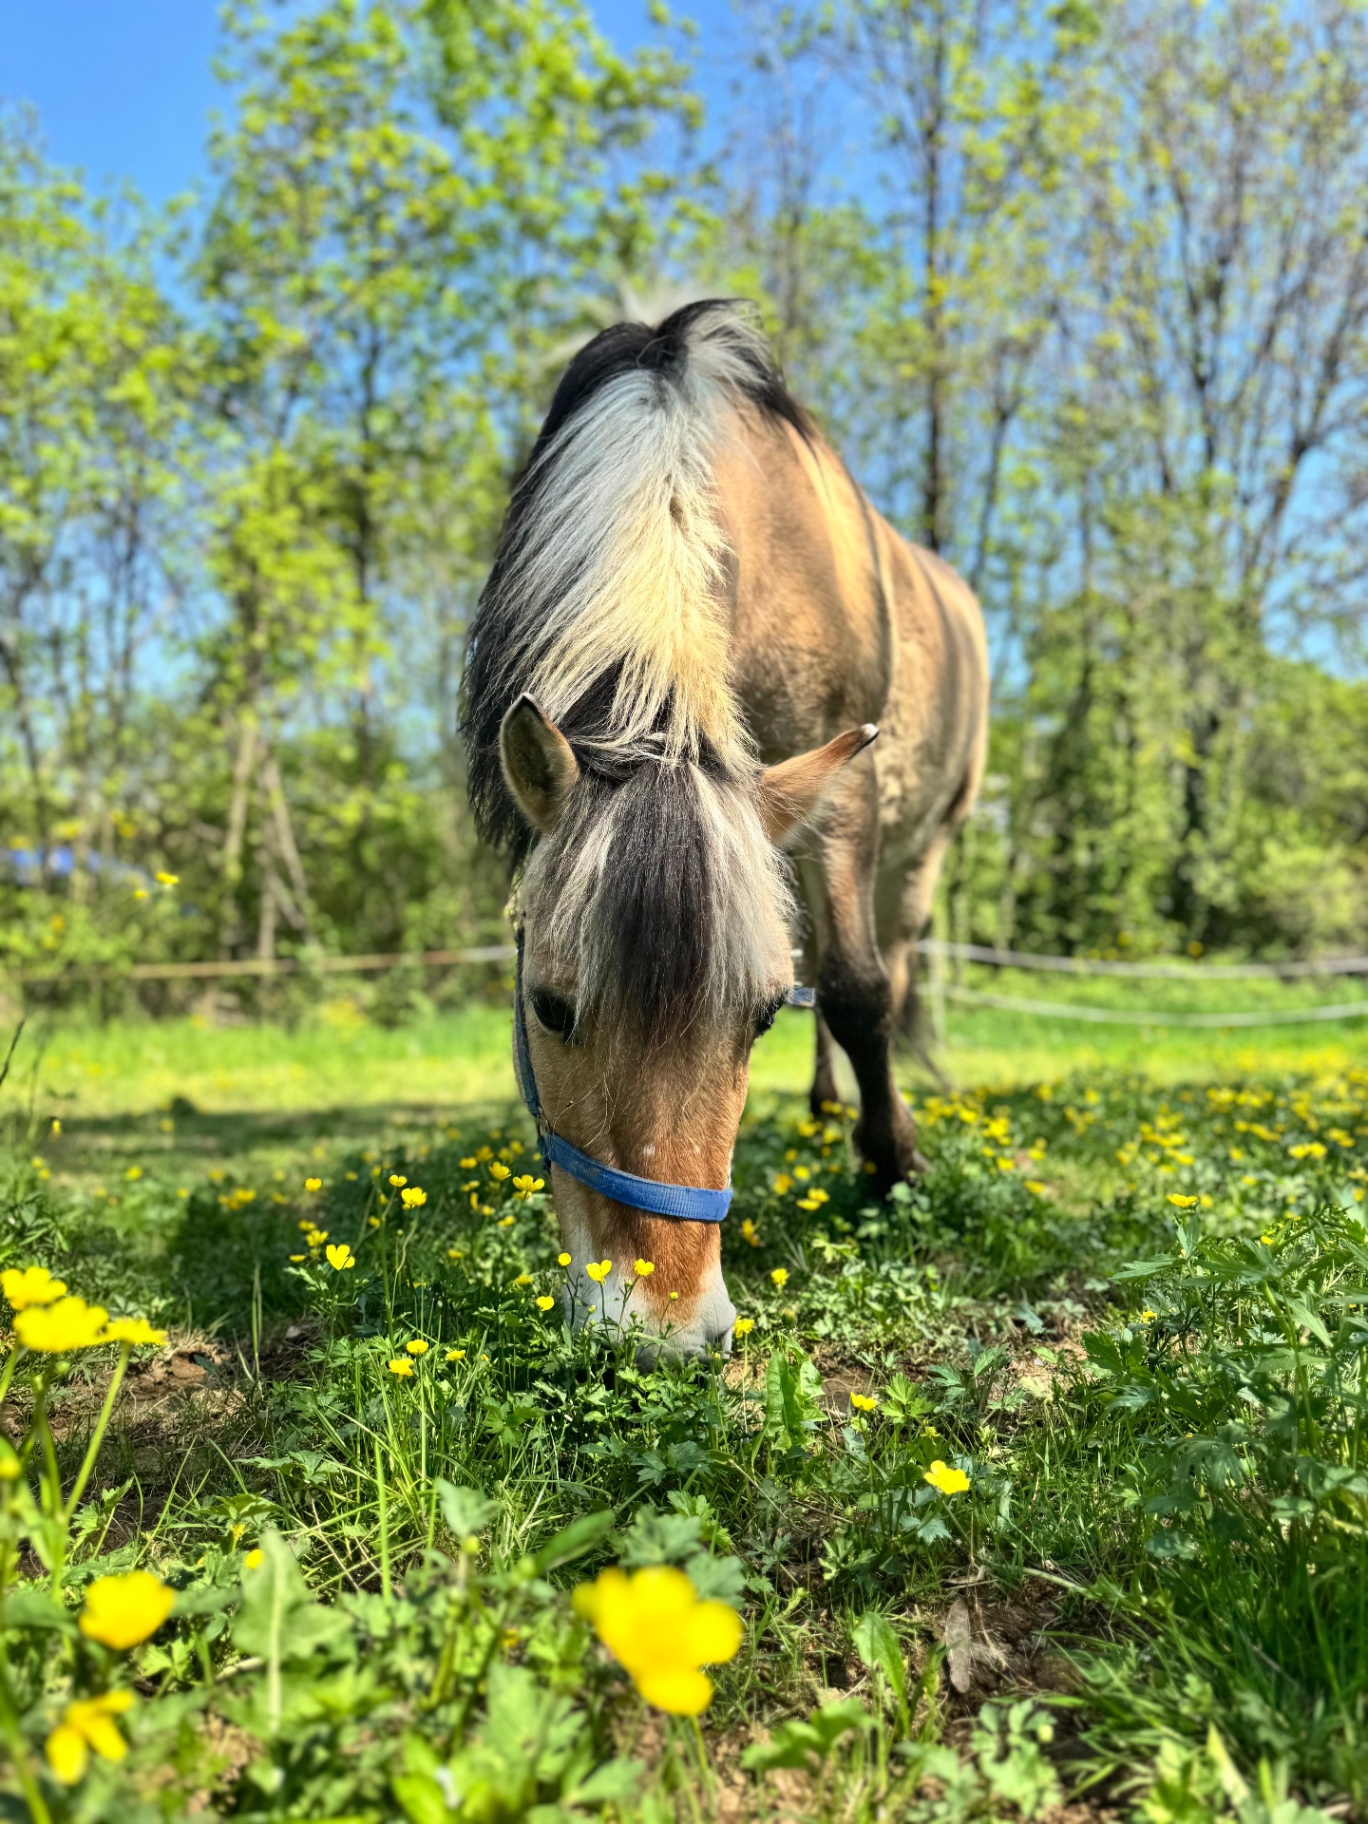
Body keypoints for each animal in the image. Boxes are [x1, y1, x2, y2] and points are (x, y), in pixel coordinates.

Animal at [461, 300, 988, 1355]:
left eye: (757, 1016)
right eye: (548, 1007)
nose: (664, 1324)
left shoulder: (845, 796)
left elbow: (858, 991)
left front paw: (892, 1162)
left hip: (920, 847)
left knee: (889, 957)